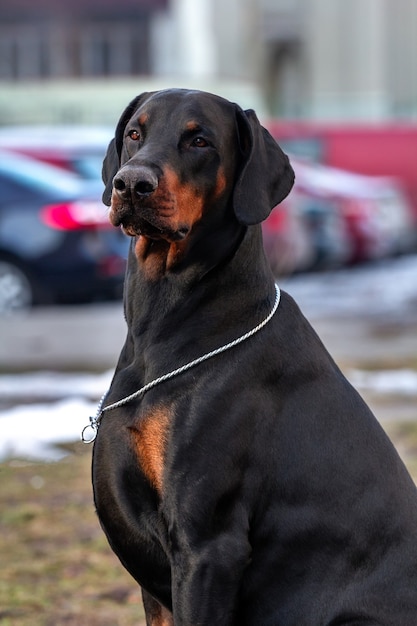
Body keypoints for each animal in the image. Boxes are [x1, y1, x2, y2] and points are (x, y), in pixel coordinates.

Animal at [90, 89, 416, 624]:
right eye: (135, 132)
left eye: (199, 140)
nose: (132, 183)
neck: (159, 327)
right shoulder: (159, 588)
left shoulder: (207, 545)